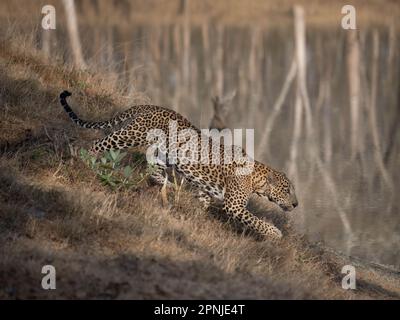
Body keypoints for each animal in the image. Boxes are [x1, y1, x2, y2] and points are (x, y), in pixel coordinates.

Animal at [59, 89, 296, 240]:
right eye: (286, 190)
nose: (296, 205)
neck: (258, 180)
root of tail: (150, 106)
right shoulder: (234, 205)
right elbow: (255, 220)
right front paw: (275, 233)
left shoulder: (206, 193)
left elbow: (201, 206)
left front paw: (195, 220)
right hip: (131, 135)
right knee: (98, 143)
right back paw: (82, 158)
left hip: (162, 154)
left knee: (154, 171)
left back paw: (169, 187)